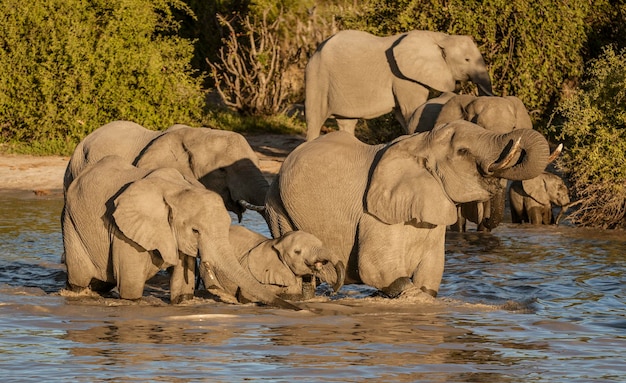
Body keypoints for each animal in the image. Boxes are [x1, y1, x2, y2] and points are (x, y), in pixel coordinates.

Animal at [63, 154, 300, 310]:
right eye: (195, 231)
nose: (300, 310)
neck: (176, 190)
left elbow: (182, 287)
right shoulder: (123, 230)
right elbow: (130, 288)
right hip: (71, 223)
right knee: (80, 278)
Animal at [266, 121, 548, 298]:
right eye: (463, 151)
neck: (421, 141)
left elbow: (430, 274)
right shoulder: (373, 213)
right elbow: (376, 269)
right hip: (278, 206)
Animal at [304, 29, 492, 141]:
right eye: (467, 60)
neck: (441, 37)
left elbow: (404, 115)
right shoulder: (403, 77)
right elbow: (413, 110)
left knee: (347, 122)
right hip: (317, 76)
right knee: (314, 119)